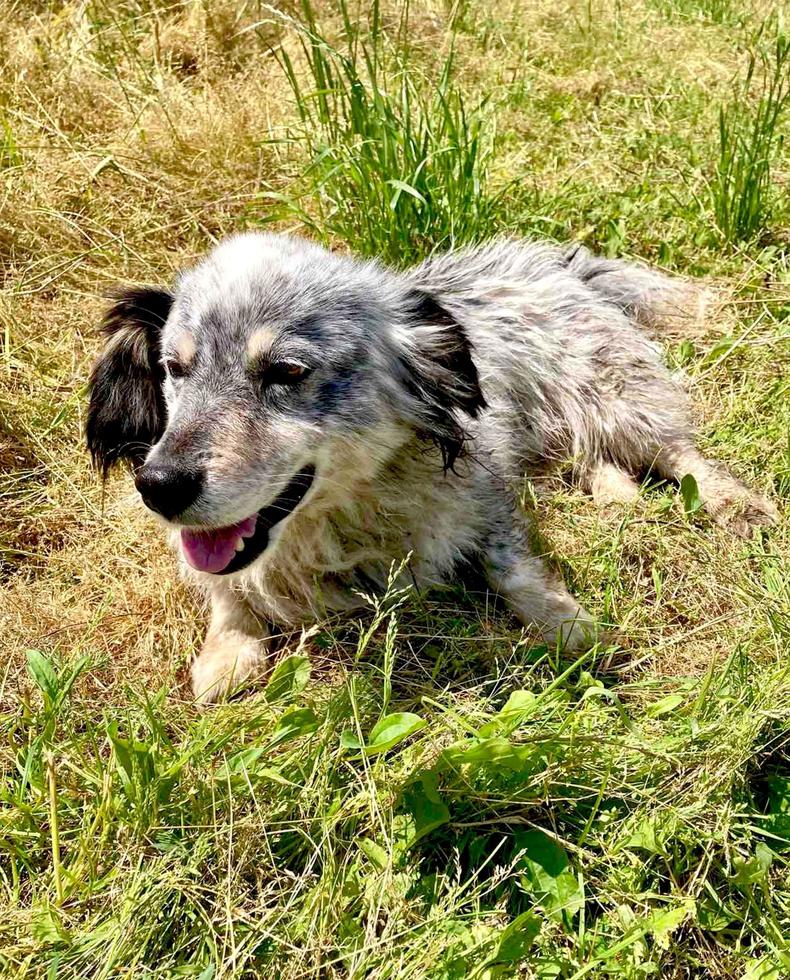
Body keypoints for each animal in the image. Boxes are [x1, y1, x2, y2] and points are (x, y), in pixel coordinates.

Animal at [85, 234, 780, 700]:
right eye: (173, 368)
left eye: (285, 371)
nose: (158, 487)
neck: (342, 523)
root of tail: (554, 261)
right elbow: (224, 588)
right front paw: (227, 651)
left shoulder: (488, 488)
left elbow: (509, 565)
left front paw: (562, 620)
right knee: (586, 455)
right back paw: (616, 493)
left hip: (608, 394)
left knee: (677, 452)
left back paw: (735, 505)